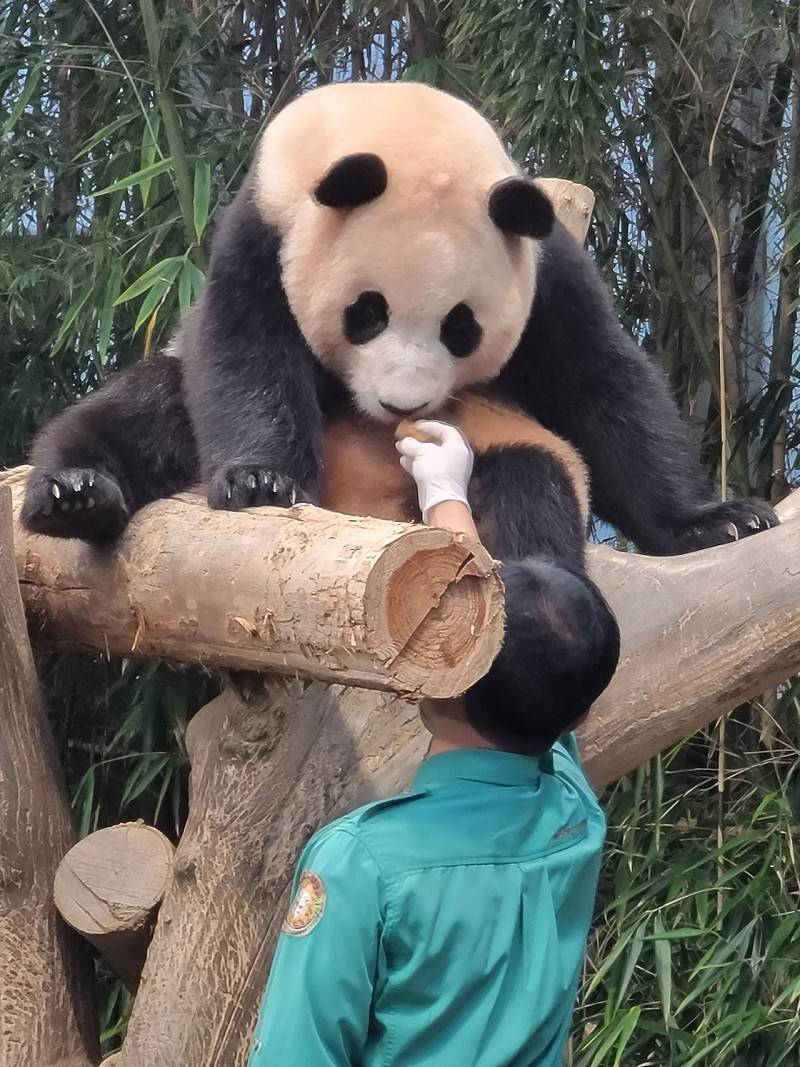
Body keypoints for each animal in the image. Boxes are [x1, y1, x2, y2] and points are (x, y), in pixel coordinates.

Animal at [18, 83, 780, 746]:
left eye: (462, 328)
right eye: (367, 312)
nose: (402, 406)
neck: (404, 119)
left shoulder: (547, 266)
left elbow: (600, 383)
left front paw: (717, 520)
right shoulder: (261, 232)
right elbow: (244, 351)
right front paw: (262, 482)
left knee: (527, 485)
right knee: (142, 411)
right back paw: (75, 495)